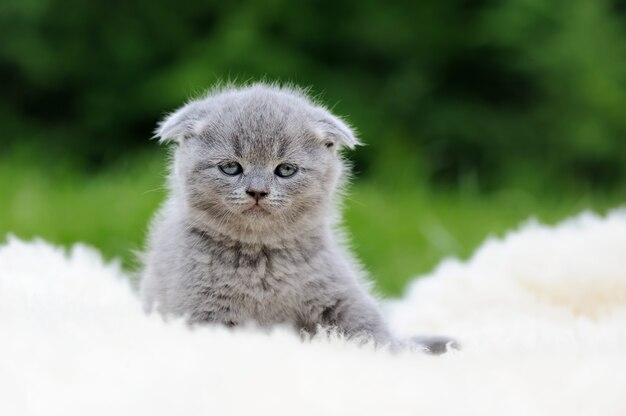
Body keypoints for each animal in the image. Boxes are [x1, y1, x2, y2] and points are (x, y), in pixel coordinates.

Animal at [140, 84, 454, 354]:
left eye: (286, 170)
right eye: (230, 167)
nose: (257, 191)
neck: (262, 262)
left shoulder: (339, 292)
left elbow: (370, 327)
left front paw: (403, 353)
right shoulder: (200, 311)